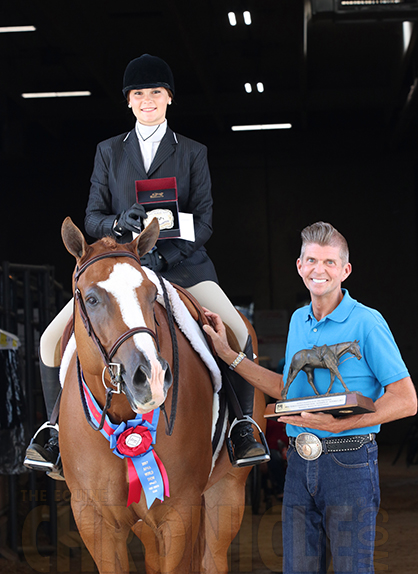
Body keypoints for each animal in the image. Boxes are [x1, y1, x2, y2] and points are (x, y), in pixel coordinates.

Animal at [58, 217, 266, 574]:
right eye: (92, 298)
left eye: (151, 293)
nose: (151, 378)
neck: (123, 417)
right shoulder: (94, 518)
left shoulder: (178, 512)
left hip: (226, 491)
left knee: (213, 558)